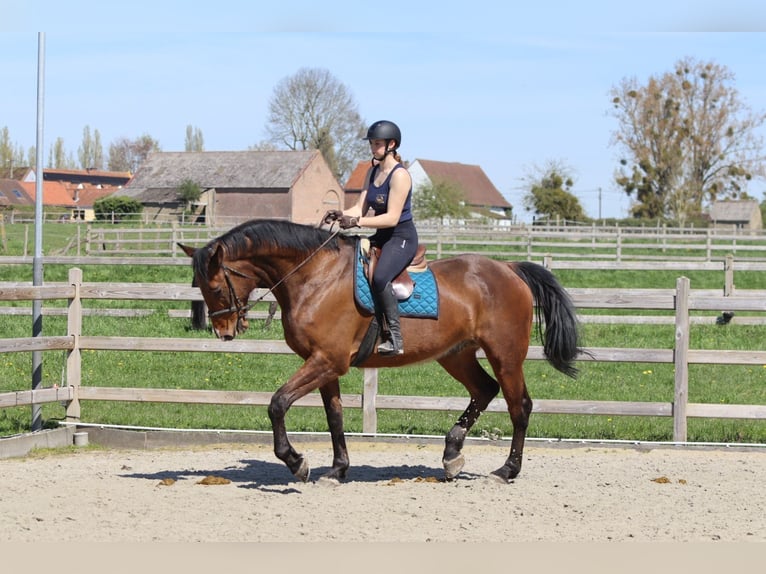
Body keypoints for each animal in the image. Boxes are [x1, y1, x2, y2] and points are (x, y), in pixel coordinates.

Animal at [179, 218, 582, 484]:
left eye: (215, 287)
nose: (223, 332)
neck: (314, 276)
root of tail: (509, 268)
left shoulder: (327, 361)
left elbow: (277, 403)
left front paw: (296, 462)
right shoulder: (324, 364)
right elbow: (335, 417)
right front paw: (337, 469)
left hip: (506, 355)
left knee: (519, 407)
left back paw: (506, 470)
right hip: (456, 354)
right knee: (484, 390)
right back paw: (451, 455)